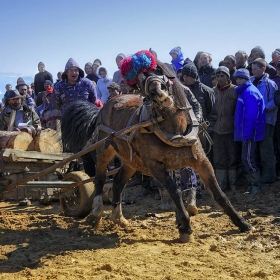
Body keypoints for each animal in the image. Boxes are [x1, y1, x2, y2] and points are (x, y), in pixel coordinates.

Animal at [61, 50, 252, 243]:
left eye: (157, 70)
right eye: (140, 80)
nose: (155, 91)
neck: (174, 130)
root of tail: (105, 105)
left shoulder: (201, 161)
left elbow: (219, 193)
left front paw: (242, 223)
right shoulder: (155, 166)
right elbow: (175, 191)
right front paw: (185, 227)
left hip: (131, 161)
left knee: (117, 183)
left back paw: (119, 217)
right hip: (104, 149)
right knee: (99, 179)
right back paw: (96, 213)